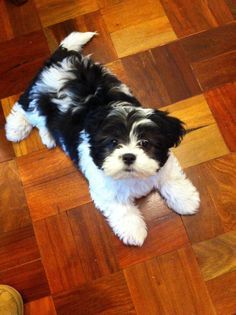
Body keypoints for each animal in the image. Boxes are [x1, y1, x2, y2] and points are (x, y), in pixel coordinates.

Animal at [5, 32, 199, 247]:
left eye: (145, 143)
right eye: (113, 143)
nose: (129, 156)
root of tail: (62, 57)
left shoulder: (164, 163)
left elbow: (173, 178)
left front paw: (186, 200)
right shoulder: (105, 189)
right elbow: (122, 209)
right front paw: (134, 231)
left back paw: (48, 135)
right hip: (38, 97)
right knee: (24, 107)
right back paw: (16, 129)